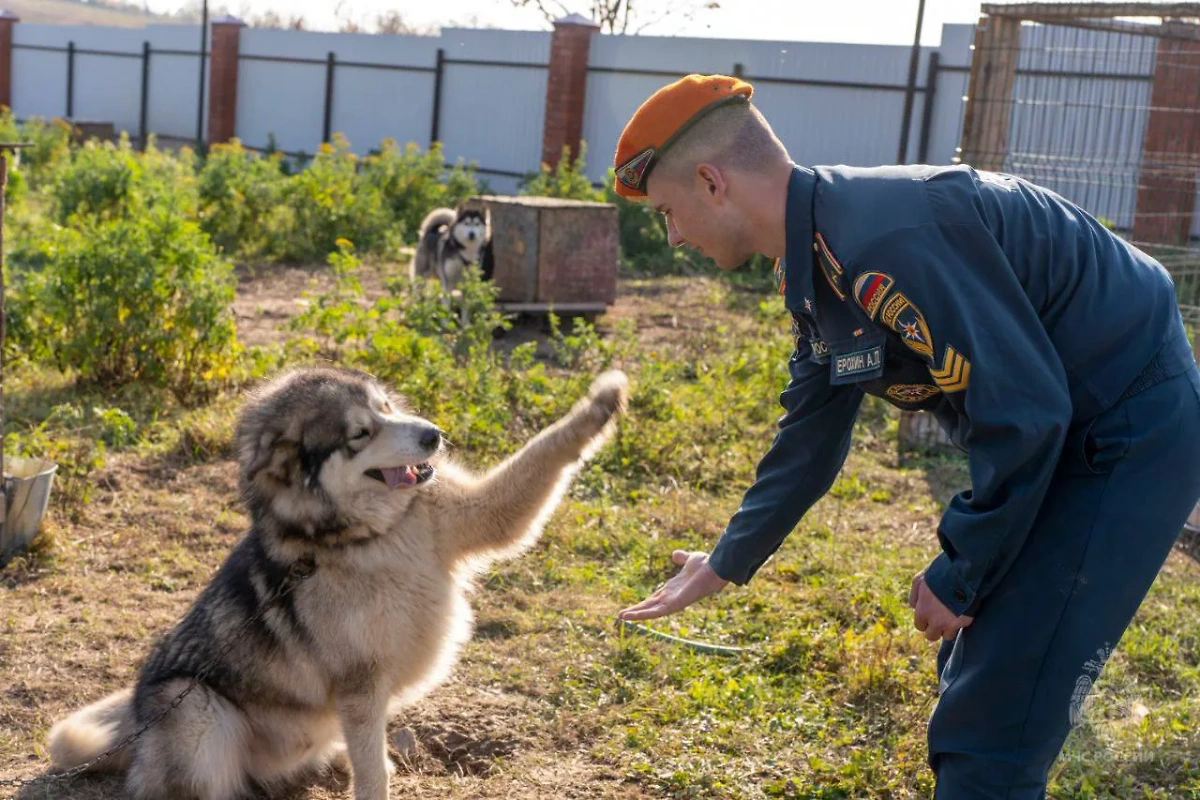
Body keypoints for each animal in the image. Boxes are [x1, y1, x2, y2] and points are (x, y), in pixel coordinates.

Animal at [46, 364, 628, 800]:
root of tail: (135, 727)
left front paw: (601, 401)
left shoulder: (484, 514)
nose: (433, 434)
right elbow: (373, 774)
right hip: (198, 710)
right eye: (359, 434)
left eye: (387, 407)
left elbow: (545, 450)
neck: (375, 536)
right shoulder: (359, 685)